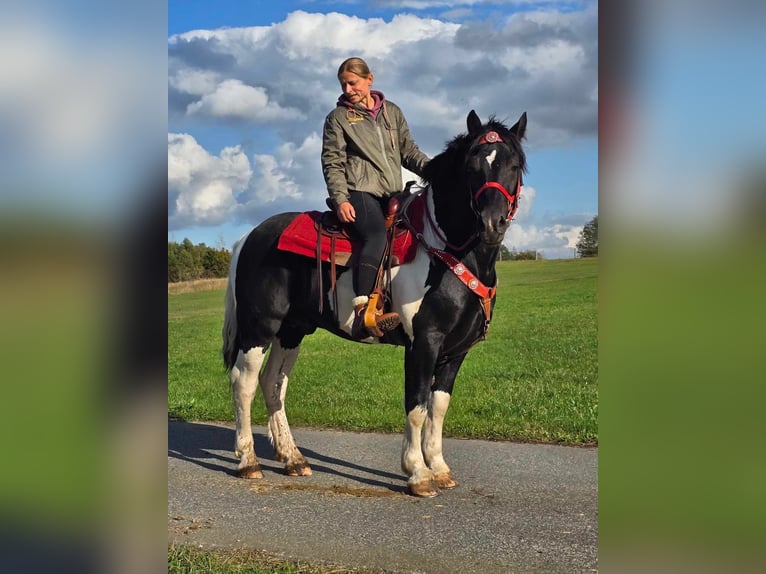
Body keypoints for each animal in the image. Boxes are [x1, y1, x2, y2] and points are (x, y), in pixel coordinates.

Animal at [222, 110, 528, 498]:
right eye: (473, 165)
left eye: (514, 164)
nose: (492, 223)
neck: (447, 251)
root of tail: (249, 237)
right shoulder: (423, 343)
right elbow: (417, 406)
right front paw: (418, 473)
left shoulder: (456, 350)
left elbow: (439, 407)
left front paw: (439, 467)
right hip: (259, 329)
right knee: (244, 384)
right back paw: (248, 462)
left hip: (291, 331)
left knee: (274, 383)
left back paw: (293, 459)